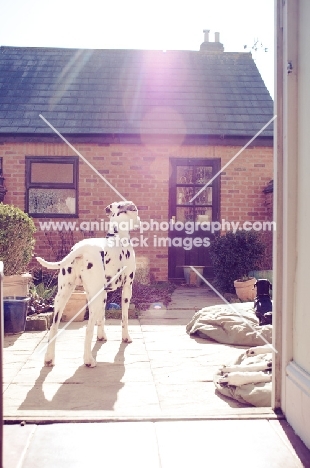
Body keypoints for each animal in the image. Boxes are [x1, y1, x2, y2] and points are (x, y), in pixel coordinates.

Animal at [36, 199, 140, 368]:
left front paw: (102, 336)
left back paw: (49, 358)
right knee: (88, 329)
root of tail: (81, 249)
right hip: (93, 299)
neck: (117, 236)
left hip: (62, 297)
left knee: (54, 327)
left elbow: (101, 318)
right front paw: (126, 338)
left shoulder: (103, 294)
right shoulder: (126, 289)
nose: (140, 221)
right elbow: (124, 318)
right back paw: (89, 360)